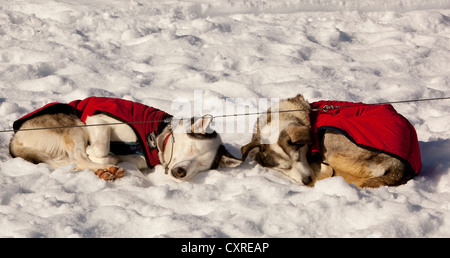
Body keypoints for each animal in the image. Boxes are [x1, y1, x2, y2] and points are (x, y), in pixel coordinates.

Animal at [9, 97, 243, 181]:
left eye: (203, 166)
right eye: (193, 150)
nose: (181, 173)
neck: (158, 136)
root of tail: (15, 141)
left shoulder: (138, 159)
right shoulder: (98, 120)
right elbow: (101, 149)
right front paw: (98, 154)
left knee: (73, 162)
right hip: (73, 124)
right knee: (79, 157)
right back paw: (104, 167)